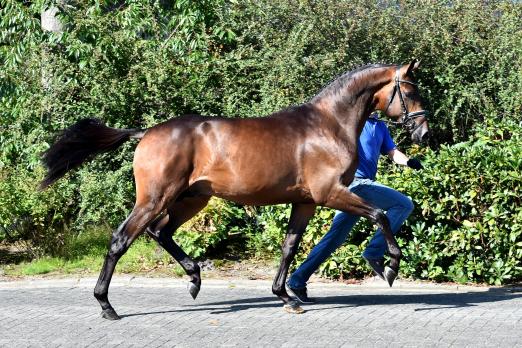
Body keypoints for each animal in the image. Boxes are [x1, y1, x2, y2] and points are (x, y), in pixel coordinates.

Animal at [39, 59, 426, 318]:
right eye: (409, 90)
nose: (423, 133)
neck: (327, 125)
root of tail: (146, 133)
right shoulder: (330, 193)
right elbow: (379, 214)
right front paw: (389, 266)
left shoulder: (306, 202)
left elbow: (289, 247)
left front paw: (286, 296)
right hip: (156, 197)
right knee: (122, 239)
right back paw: (107, 305)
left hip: (191, 199)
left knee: (160, 232)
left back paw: (194, 279)